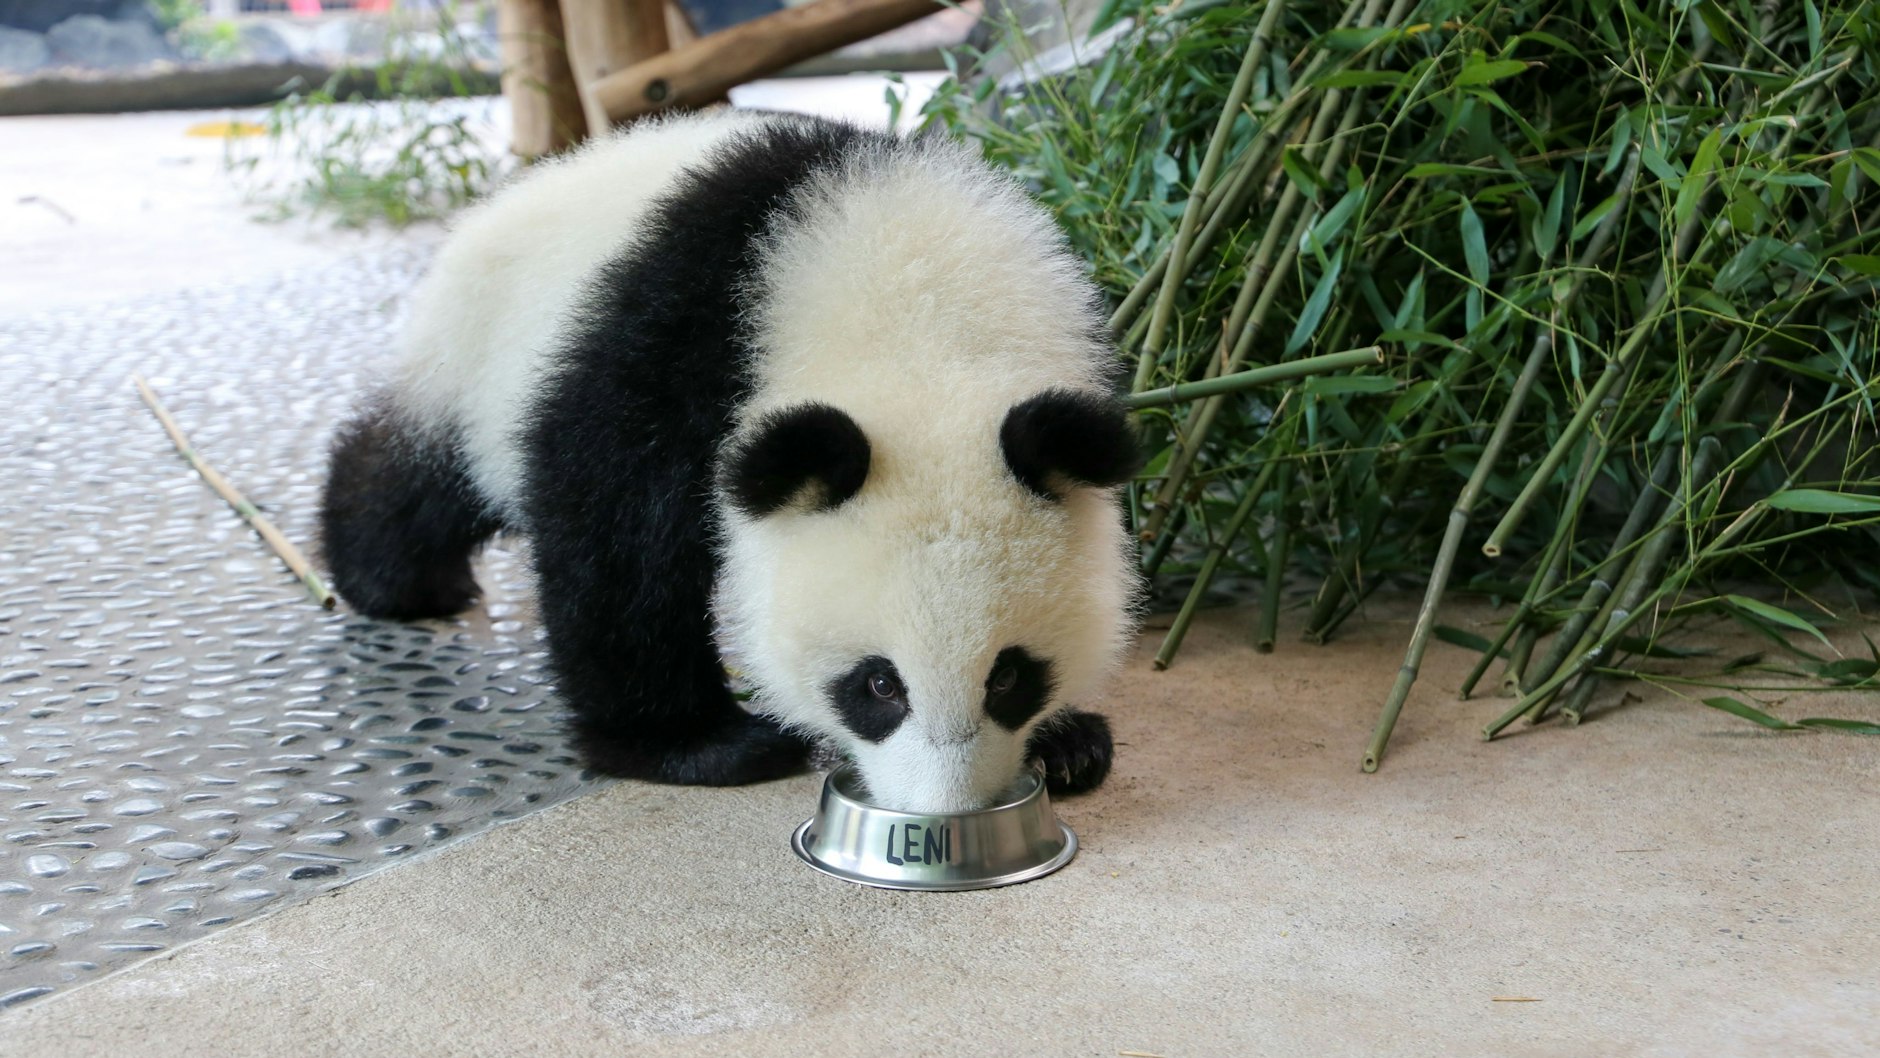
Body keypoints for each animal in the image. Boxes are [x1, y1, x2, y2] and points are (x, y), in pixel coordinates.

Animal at [319, 110, 1141, 813]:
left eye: (1009, 676)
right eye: (878, 685)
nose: (946, 808)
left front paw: (1068, 740)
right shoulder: (689, 333)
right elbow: (616, 521)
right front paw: (699, 745)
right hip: (480, 356)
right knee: (426, 476)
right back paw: (394, 580)